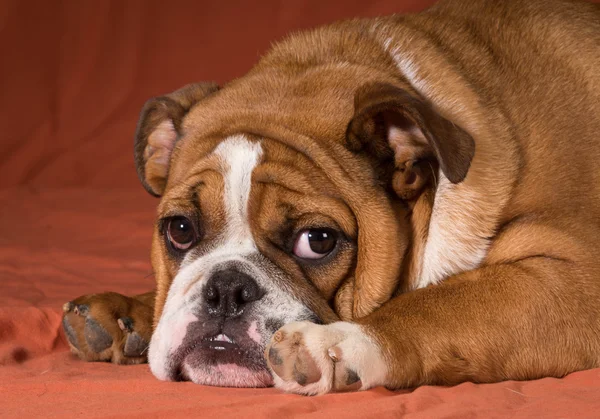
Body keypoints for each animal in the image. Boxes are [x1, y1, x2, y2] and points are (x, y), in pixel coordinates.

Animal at [62, 0, 600, 398]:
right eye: (179, 229)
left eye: (317, 241)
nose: (226, 289)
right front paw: (124, 312)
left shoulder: (574, 279)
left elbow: (440, 305)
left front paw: (336, 343)